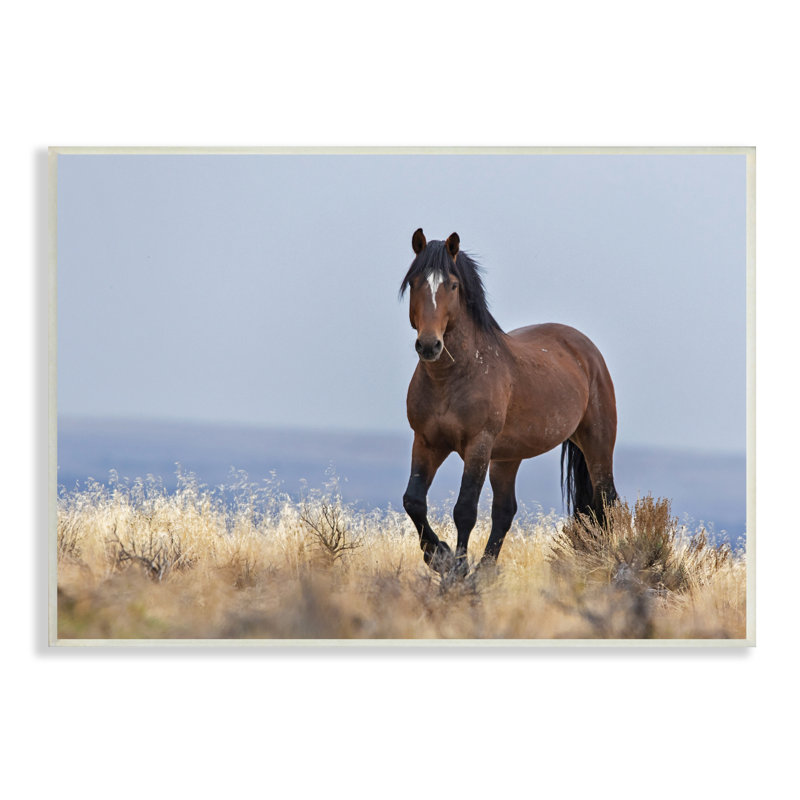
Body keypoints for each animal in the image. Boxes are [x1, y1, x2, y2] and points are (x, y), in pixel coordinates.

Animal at [400, 228, 619, 575]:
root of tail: (584, 348)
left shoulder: (478, 445)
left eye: (453, 285)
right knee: (505, 511)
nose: (430, 345)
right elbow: (414, 501)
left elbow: (465, 510)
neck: (453, 377)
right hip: (507, 457)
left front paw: (458, 569)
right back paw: (486, 572)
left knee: (606, 502)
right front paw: (440, 557)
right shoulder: (426, 442)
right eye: (415, 282)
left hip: (597, 442)